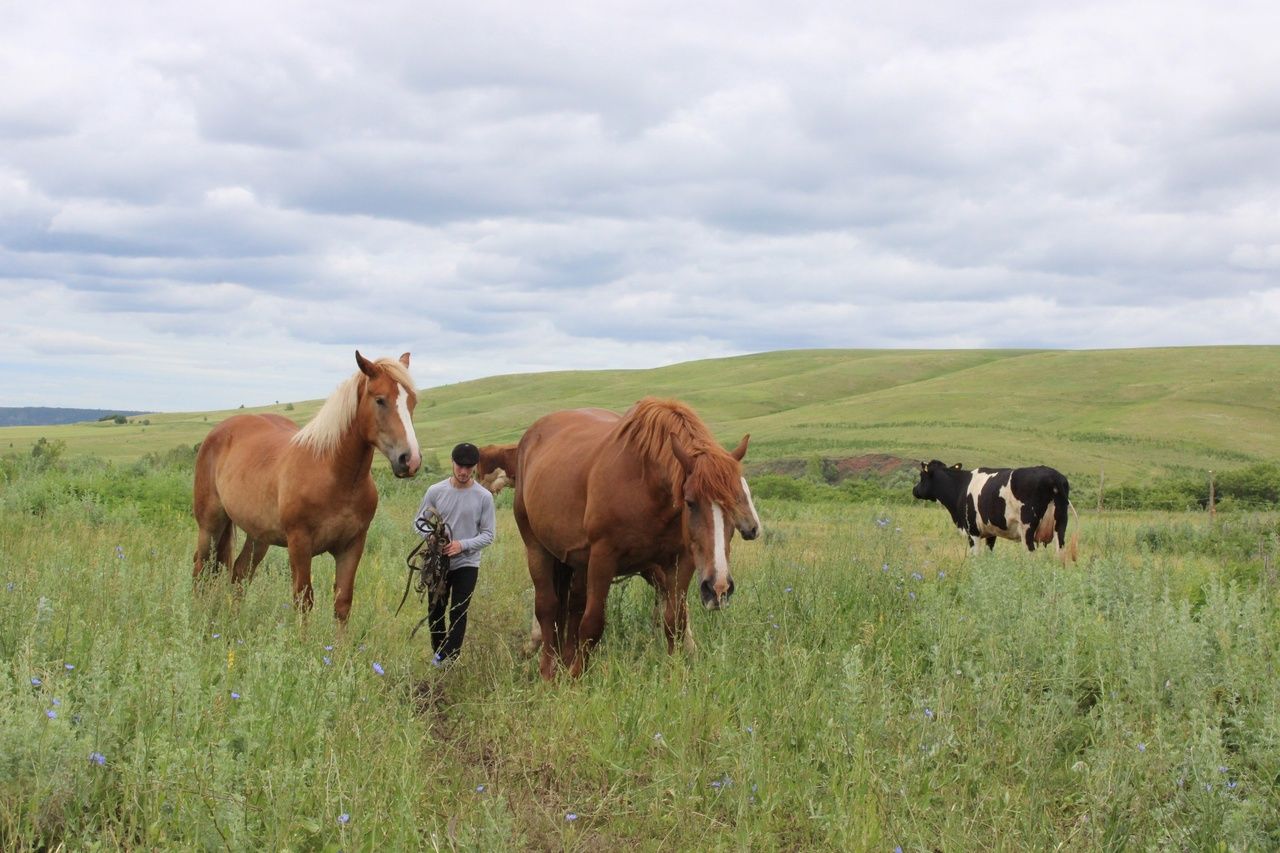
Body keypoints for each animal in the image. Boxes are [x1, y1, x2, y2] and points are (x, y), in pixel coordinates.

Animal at [194, 348, 422, 622]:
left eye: (412, 401)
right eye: (380, 400)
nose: (410, 460)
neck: (336, 477)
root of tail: (218, 432)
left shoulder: (352, 546)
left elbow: (342, 603)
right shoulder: (300, 544)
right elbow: (304, 600)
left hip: (259, 536)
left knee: (239, 573)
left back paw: (234, 621)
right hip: (210, 525)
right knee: (200, 569)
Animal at [514, 397, 762, 676]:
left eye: (736, 501)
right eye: (690, 502)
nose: (719, 588)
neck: (647, 486)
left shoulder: (680, 562)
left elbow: (674, 621)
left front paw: (674, 675)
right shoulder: (603, 558)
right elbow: (592, 624)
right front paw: (576, 678)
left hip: (575, 561)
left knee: (572, 608)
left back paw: (564, 662)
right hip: (537, 548)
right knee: (548, 608)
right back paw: (549, 672)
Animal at [911, 458, 1080, 558]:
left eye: (921, 476)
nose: (914, 490)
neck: (961, 487)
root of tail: (1054, 476)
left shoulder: (973, 531)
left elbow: (976, 557)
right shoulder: (991, 532)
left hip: (1027, 528)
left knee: (1030, 554)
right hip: (1060, 525)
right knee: (1060, 553)